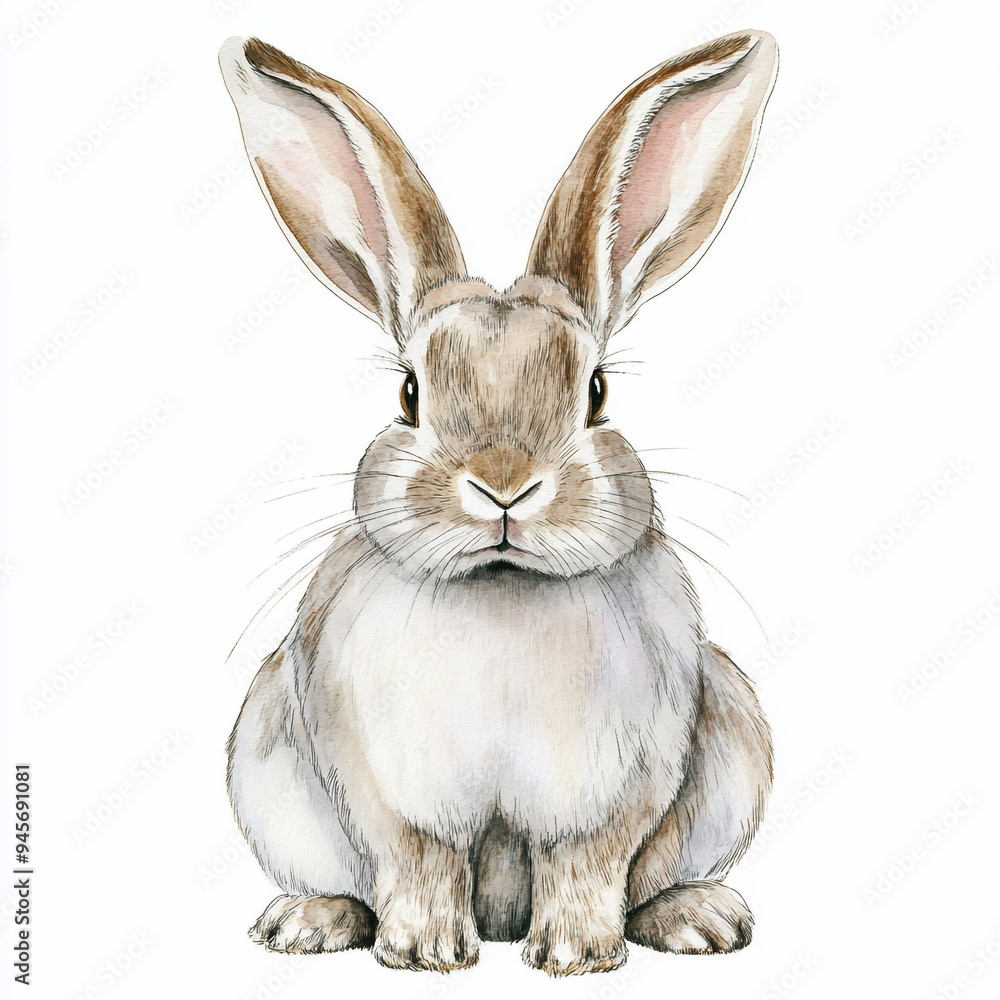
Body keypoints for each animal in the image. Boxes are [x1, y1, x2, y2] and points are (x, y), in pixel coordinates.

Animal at [220, 28, 777, 976]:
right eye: (410, 395)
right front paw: (425, 954)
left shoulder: (619, 787)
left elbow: (589, 863)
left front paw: (574, 956)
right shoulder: (387, 789)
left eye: (595, 393)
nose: (504, 484)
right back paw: (307, 923)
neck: (503, 591)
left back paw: (698, 919)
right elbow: (418, 860)